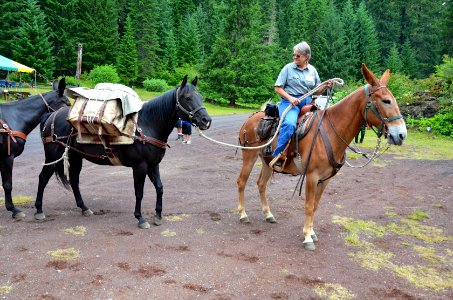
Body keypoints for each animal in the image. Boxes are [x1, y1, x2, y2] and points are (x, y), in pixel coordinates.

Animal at [35, 76, 212, 229]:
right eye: (187, 97)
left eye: (201, 97)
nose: (206, 121)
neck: (146, 125)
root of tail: (51, 115)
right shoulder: (140, 166)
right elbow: (139, 192)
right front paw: (140, 218)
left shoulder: (153, 165)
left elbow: (160, 187)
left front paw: (158, 216)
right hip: (53, 156)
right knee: (43, 178)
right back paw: (39, 210)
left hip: (75, 156)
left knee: (74, 180)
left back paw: (84, 208)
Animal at [237, 64, 406, 250]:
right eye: (386, 101)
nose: (401, 134)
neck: (331, 131)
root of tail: (251, 118)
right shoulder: (312, 176)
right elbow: (308, 205)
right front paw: (307, 238)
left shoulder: (325, 179)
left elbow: (315, 206)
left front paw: (311, 232)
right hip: (249, 156)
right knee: (241, 181)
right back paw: (243, 215)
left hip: (267, 162)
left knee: (261, 184)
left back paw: (268, 215)